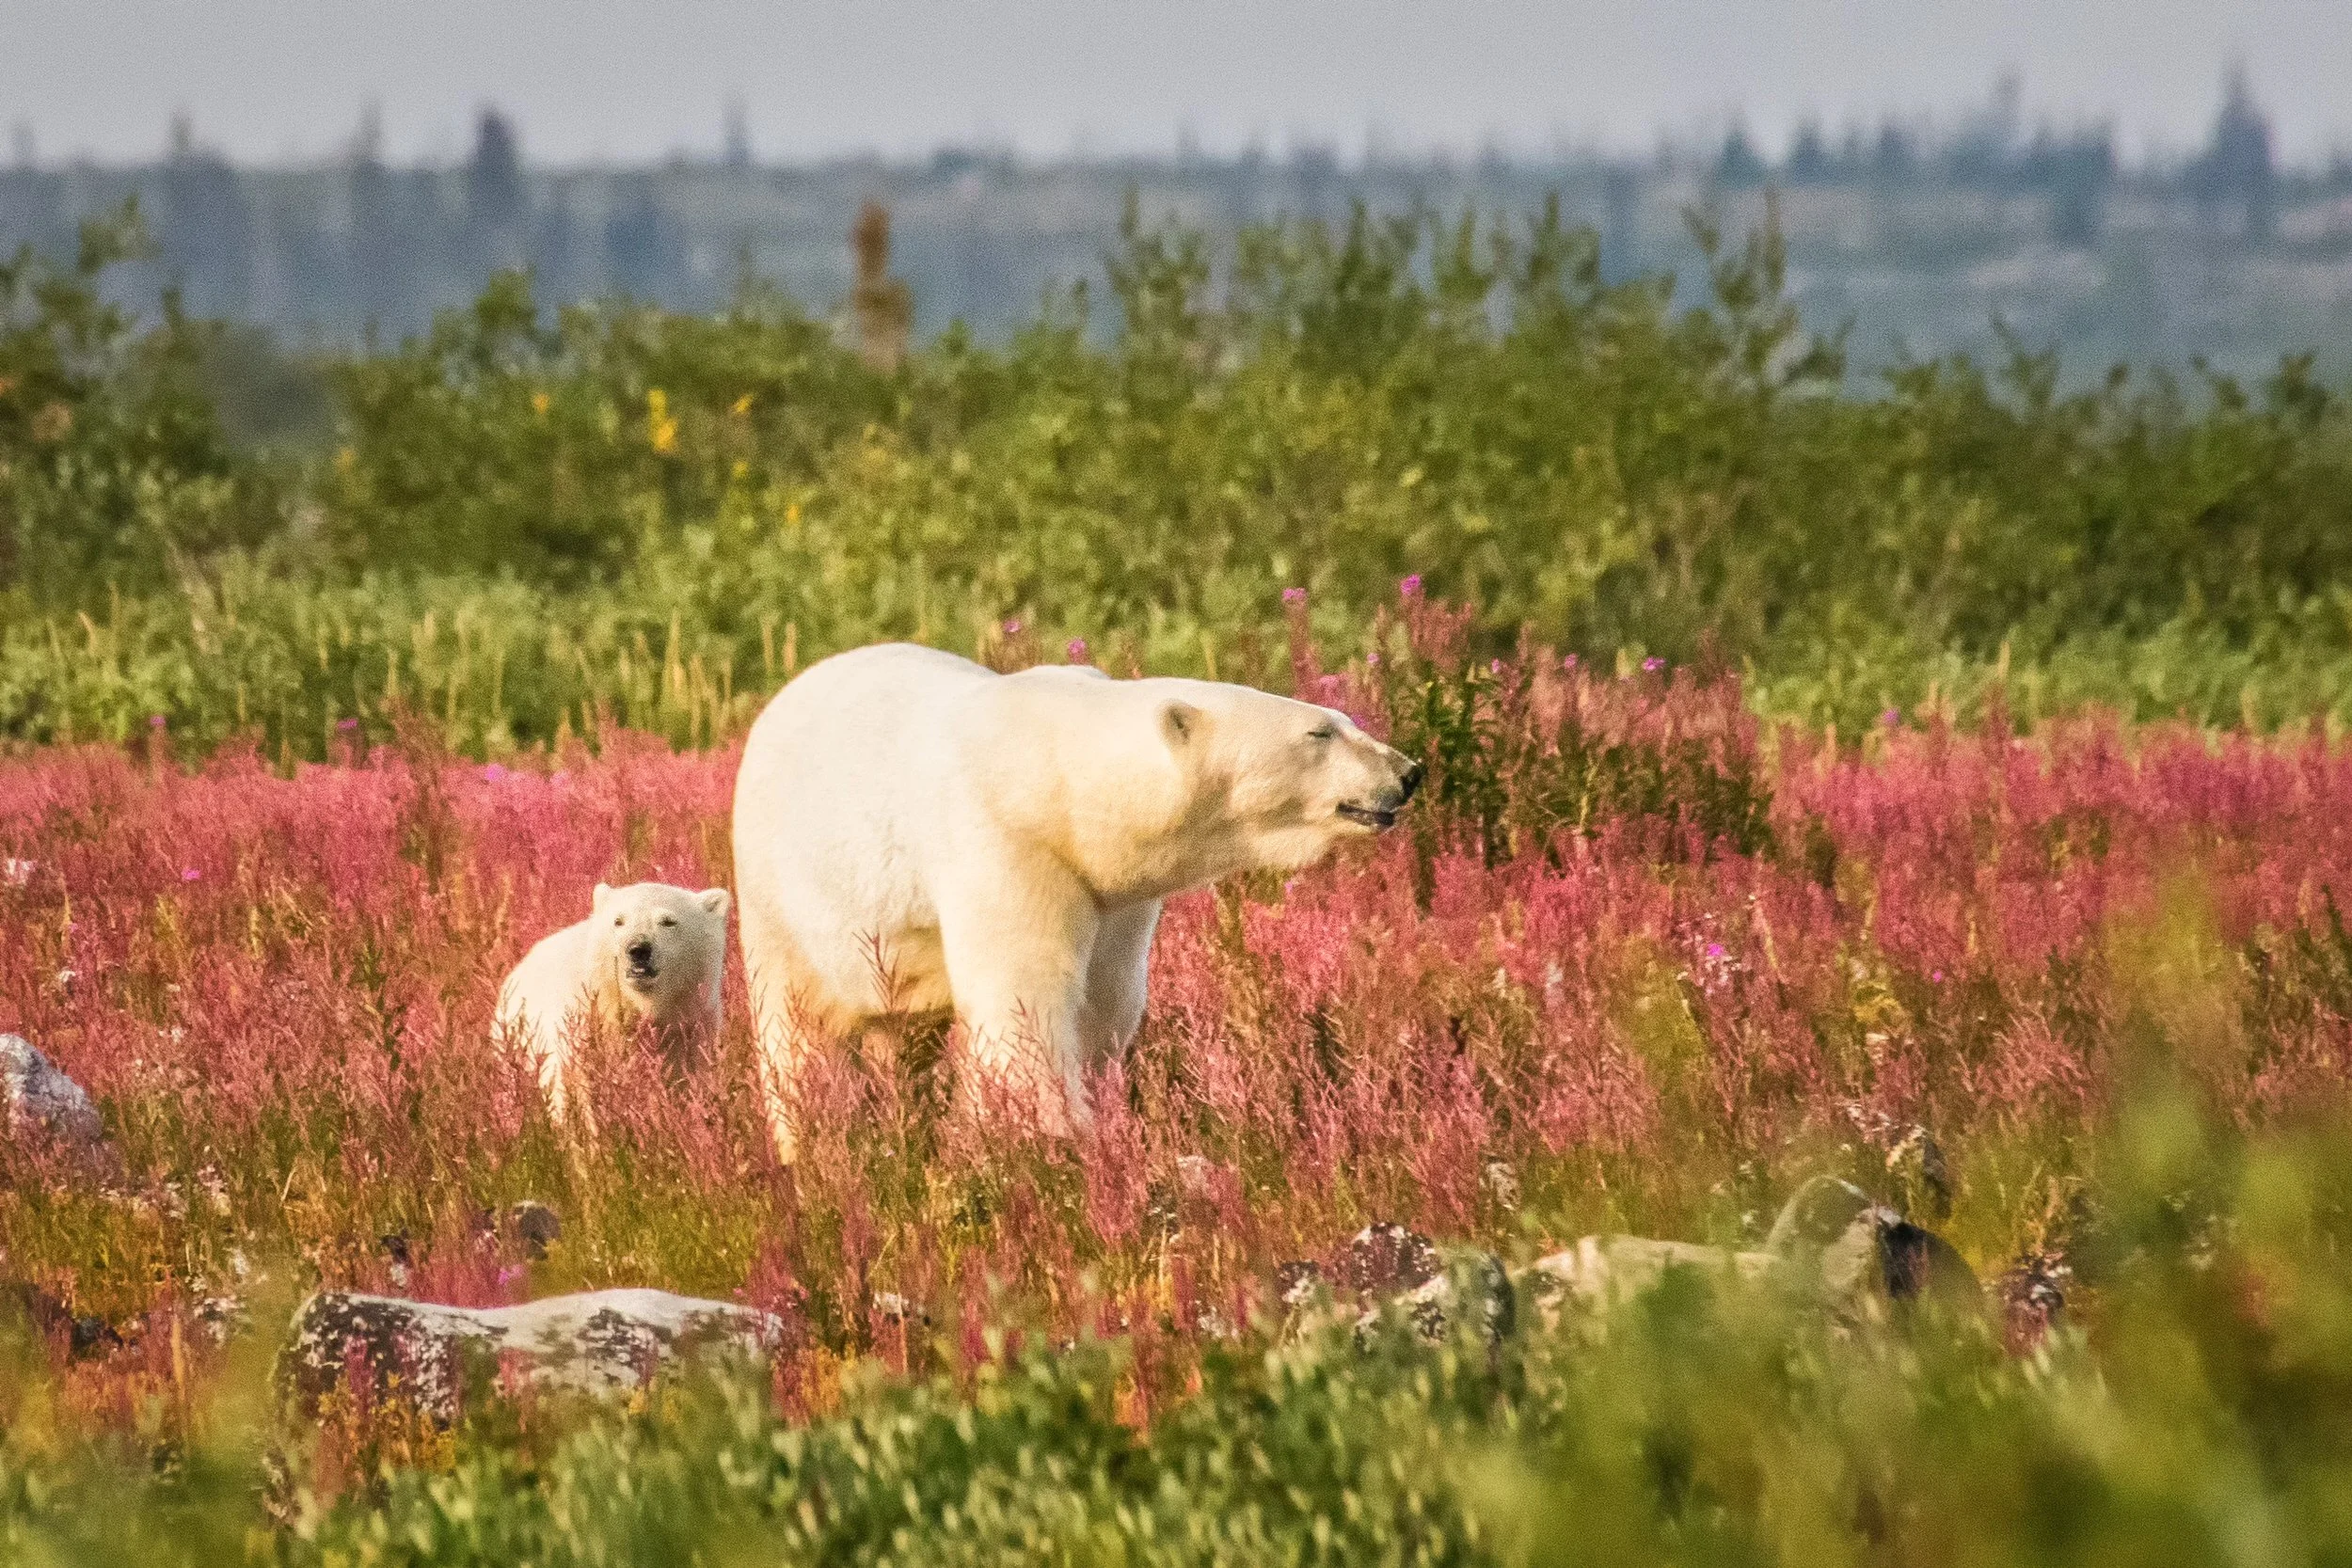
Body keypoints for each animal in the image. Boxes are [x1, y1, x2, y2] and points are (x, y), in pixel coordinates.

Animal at [495, 881, 732, 1128]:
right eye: (619, 921)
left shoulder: (690, 1023)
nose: (638, 949)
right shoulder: (584, 1024)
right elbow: (578, 1083)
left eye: (668, 921)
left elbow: (687, 1076)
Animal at [730, 642, 1420, 1161]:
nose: (1409, 772)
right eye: (1320, 731)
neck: (1052, 773)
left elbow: (1106, 992)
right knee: (797, 1031)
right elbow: (1022, 995)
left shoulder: (1111, 889)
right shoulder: (1006, 842)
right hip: (779, 894)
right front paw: (1055, 1133)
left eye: (1345, 718)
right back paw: (813, 1143)